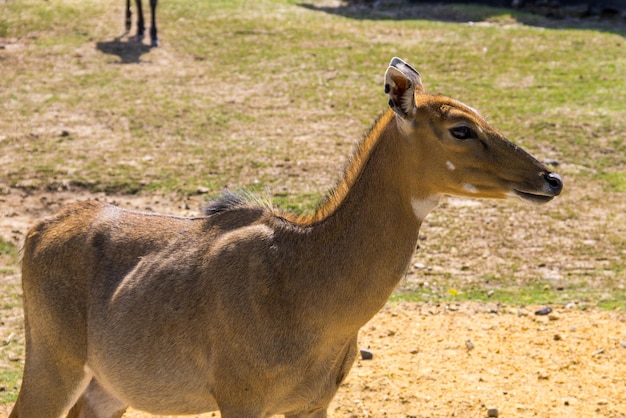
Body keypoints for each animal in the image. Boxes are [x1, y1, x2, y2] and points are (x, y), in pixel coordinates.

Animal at [9, 57, 560, 416]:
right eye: (461, 129)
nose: (550, 178)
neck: (306, 283)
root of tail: (37, 230)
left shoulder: (315, 402)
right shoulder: (240, 396)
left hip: (106, 388)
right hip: (53, 361)